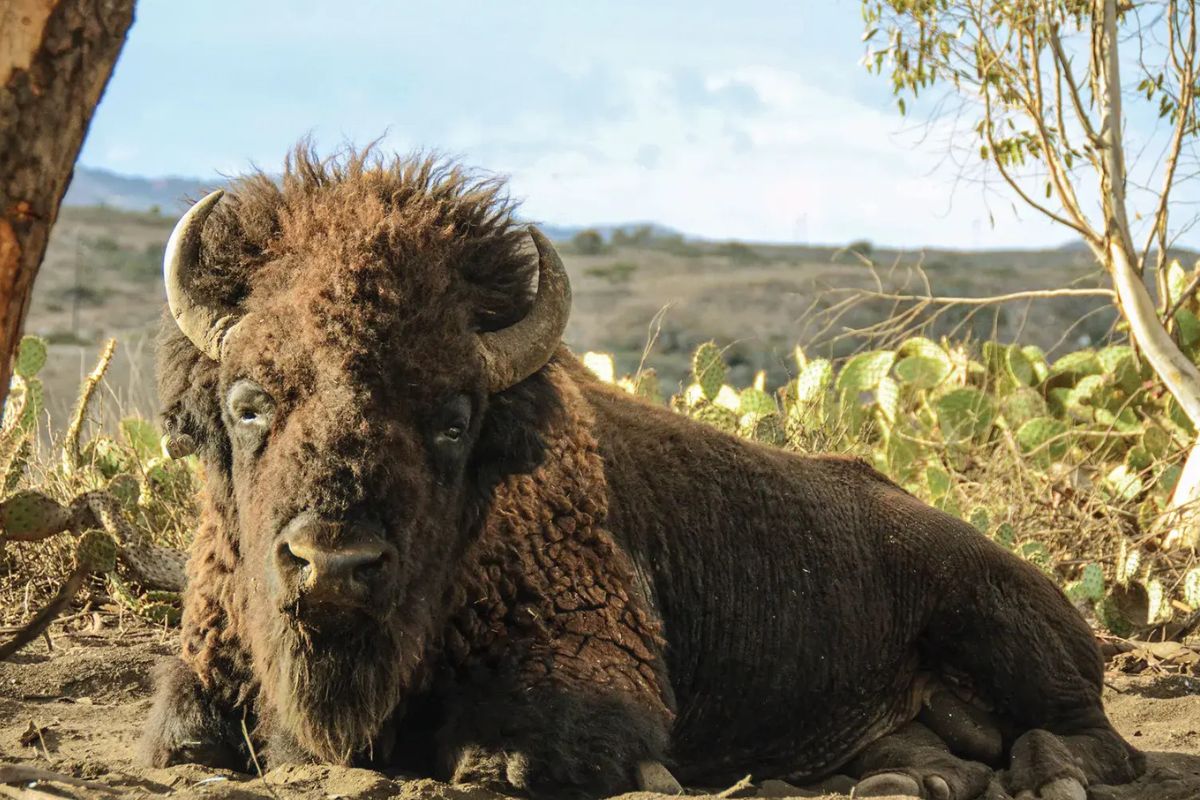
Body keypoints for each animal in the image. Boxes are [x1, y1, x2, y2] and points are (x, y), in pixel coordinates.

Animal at [141, 146, 1142, 800]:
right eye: (248, 402)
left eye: (453, 420)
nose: (335, 565)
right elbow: (187, 740)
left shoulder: (602, 673)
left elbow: (526, 752)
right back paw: (913, 782)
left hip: (1004, 629)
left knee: (1098, 741)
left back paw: (1043, 775)